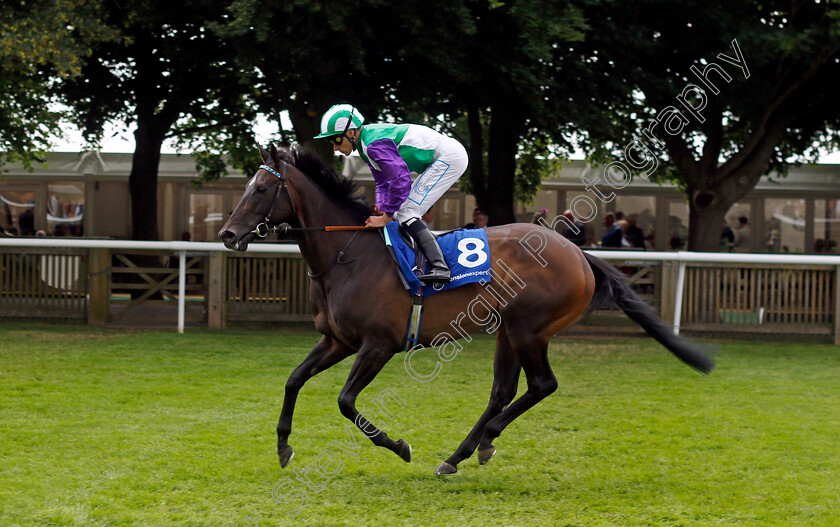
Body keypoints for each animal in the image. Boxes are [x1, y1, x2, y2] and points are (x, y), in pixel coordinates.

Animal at [218, 144, 716, 478]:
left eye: (261, 188)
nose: (227, 234)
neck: (349, 255)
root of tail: (577, 251)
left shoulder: (378, 345)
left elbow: (345, 401)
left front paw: (399, 446)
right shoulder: (337, 340)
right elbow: (294, 379)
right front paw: (283, 448)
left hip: (529, 328)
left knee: (541, 385)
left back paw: (485, 440)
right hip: (507, 330)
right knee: (503, 390)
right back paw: (460, 454)